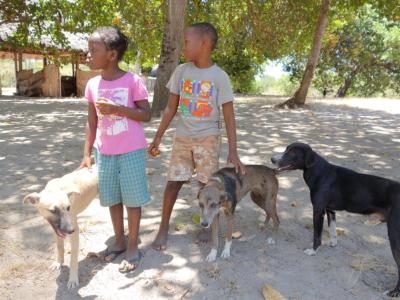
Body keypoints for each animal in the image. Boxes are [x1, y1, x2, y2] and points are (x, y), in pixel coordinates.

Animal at [272, 143, 400, 298]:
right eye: (286, 149)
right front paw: (333, 243)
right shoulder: (330, 210)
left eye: (292, 153)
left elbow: (317, 235)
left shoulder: (318, 210)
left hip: (394, 234)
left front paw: (313, 250)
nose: (272, 159)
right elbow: (332, 229)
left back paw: (393, 292)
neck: (321, 173)